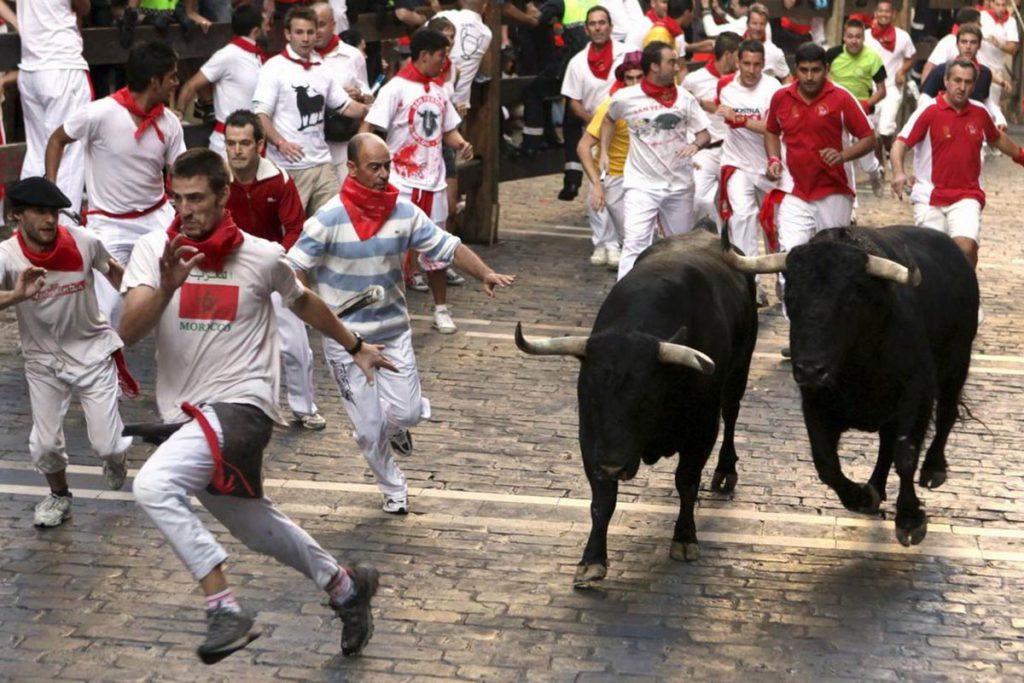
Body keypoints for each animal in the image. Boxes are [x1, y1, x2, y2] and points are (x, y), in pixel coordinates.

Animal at [733, 227, 978, 548]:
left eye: (849, 300)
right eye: (791, 298)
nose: (810, 369)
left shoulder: (916, 394)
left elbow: (906, 454)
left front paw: (910, 519)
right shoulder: (815, 403)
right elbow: (826, 464)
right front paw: (861, 496)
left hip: (957, 364)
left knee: (946, 415)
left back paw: (934, 469)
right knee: (886, 444)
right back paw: (875, 486)